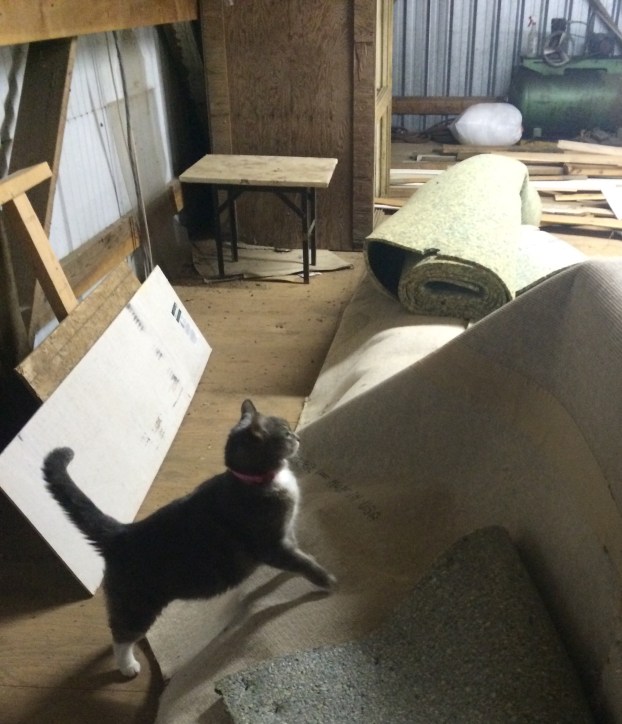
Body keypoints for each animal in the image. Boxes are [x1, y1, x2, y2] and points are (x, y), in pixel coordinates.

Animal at [42, 399, 336, 677]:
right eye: (285, 432)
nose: (298, 437)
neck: (253, 480)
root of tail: (122, 532)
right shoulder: (271, 545)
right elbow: (302, 563)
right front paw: (327, 580)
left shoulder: (286, 536)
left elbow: (299, 556)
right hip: (138, 603)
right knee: (122, 634)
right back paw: (127, 665)